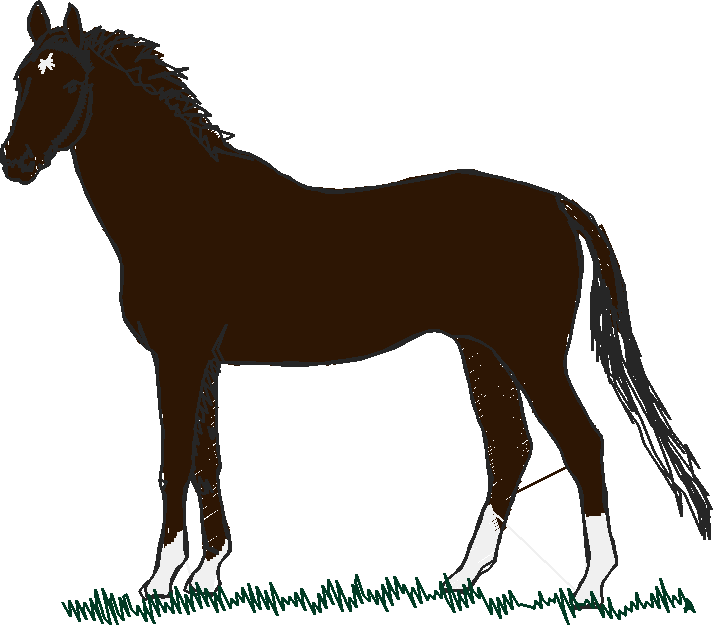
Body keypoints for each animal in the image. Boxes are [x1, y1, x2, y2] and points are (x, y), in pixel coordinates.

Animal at [4, 2, 710, 609]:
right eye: (21, 79)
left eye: (68, 82)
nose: (14, 163)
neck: (181, 211)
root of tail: (558, 206)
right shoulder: (200, 360)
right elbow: (205, 458)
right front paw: (205, 576)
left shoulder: (182, 355)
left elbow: (175, 461)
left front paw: (159, 582)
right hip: (480, 351)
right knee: (510, 449)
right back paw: (461, 579)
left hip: (529, 353)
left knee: (581, 442)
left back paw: (588, 587)